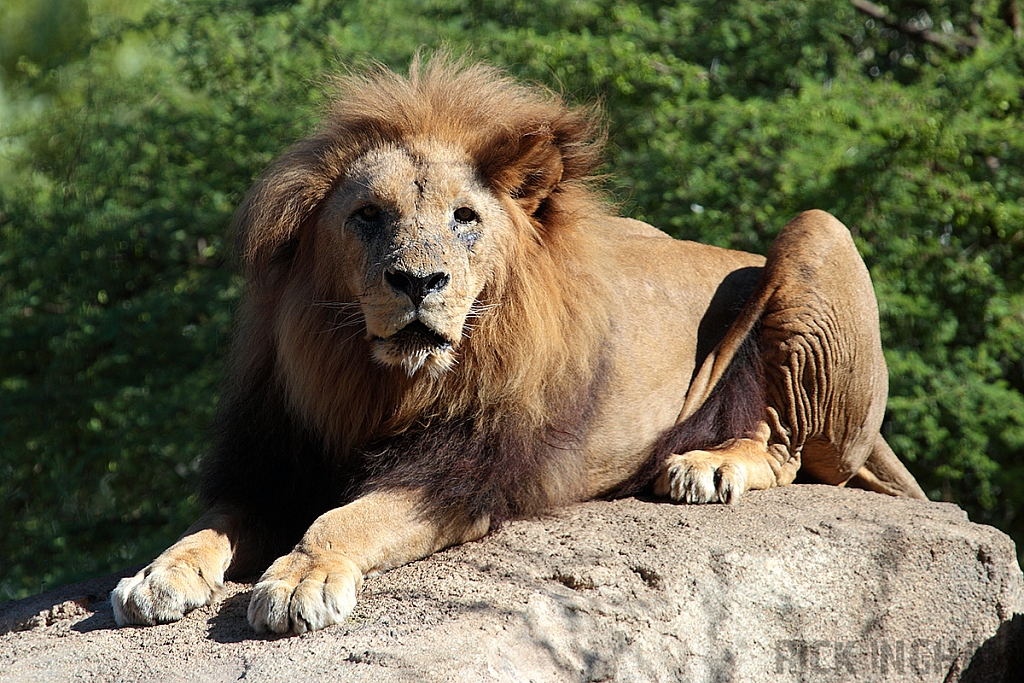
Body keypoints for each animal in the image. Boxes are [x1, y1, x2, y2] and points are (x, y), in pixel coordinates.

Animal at [112, 57, 929, 634]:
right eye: (368, 216)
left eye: (465, 218)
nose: (419, 281)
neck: (372, 381)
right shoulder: (274, 464)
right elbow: (212, 525)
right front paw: (158, 574)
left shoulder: (462, 473)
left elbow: (343, 519)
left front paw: (299, 578)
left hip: (816, 233)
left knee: (787, 446)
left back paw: (707, 464)